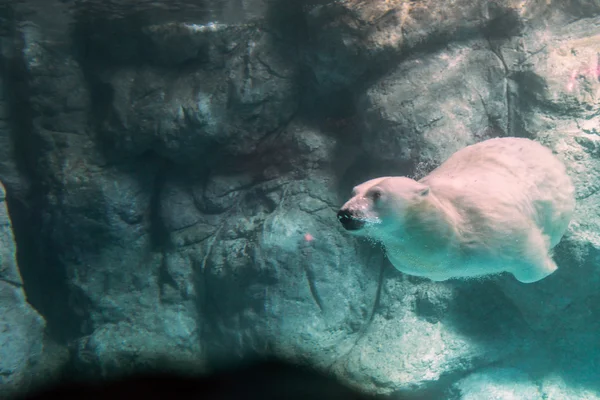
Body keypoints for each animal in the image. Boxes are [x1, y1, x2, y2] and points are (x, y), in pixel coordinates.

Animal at [338, 138, 576, 284]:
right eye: (353, 191)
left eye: (377, 194)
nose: (345, 214)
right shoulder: (414, 262)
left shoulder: (495, 225)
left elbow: (528, 256)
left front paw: (549, 268)